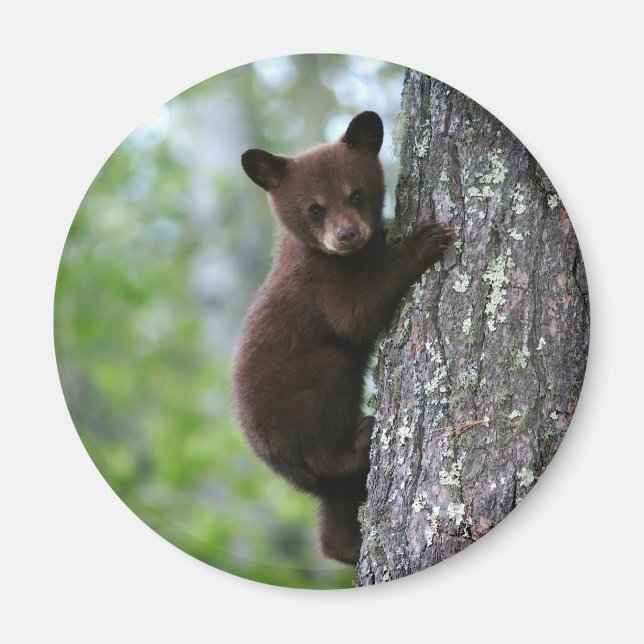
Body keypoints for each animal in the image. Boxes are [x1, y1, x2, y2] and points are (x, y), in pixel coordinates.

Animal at [233, 111, 452, 565]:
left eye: (357, 194)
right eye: (314, 208)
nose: (347, 234)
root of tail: (279, 465)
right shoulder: (319, 283)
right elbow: (355, 316)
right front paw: (421, 241)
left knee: (335, 515)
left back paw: (347, 546)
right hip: (307, 392)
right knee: (326, 431)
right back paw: (361, 438)